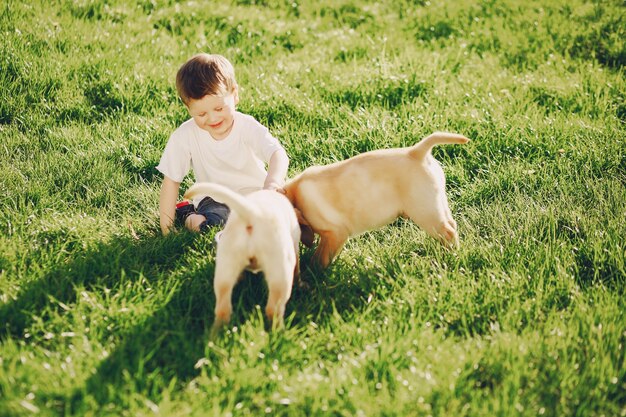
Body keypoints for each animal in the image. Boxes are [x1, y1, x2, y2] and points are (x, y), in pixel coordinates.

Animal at [183, 182, 300, 332]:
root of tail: (253, 213)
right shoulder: (295, 248)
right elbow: (298, 267)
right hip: (280, 272)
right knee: (273, 309)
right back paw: (279, 332)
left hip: (225, 269)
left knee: (222, 309)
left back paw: (215, 333)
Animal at [284, 130, 468, 266]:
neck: (295, 193)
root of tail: (417, 152)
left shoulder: (335, 233)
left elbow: (321, 258)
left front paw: (315, 272)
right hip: (437, 204)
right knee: (452, 225)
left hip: (425, 212)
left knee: (448, 232)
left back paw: (451, 255)